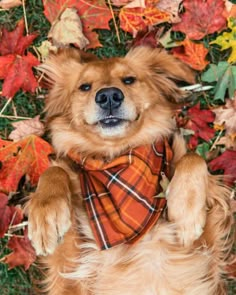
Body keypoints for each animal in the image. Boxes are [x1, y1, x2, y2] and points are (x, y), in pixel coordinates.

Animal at [26, 46, 233, 295]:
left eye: (129, 79)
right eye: (84, 86)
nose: (108, 96)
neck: (118, 162)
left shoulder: (206, 245)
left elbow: (193, 158)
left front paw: (186, 214)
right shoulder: (70, 265)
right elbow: (55, 171)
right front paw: (46, 218)